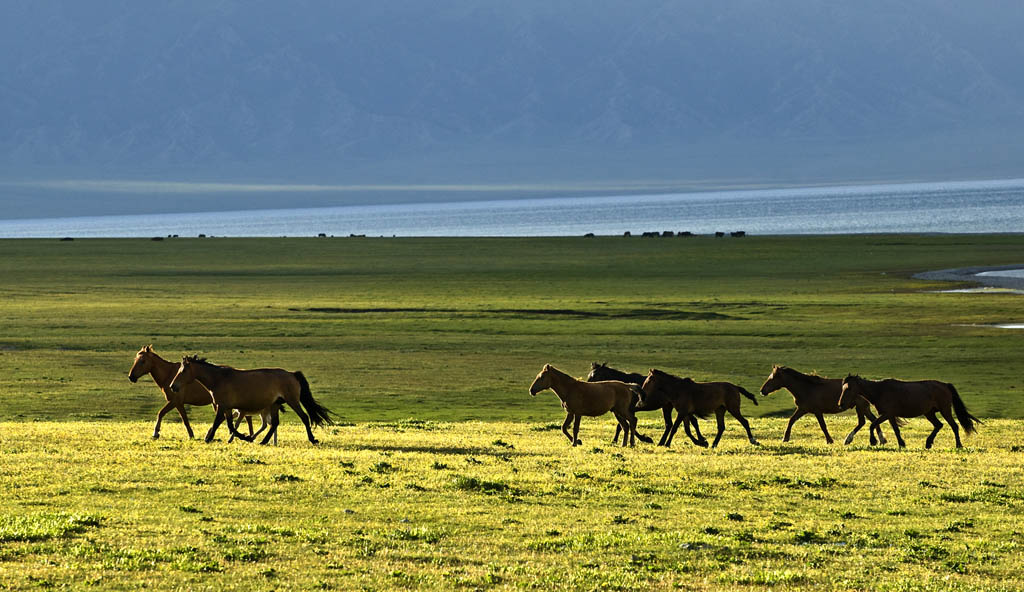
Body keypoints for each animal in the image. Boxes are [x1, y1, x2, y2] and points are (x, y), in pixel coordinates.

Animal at [169, 354, 333, 442]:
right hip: (275, 404)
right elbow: (230, 425)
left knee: (304, 417)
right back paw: (263, 442)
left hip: (292, 400)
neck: (219, 379)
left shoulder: (222, 406)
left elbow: (220, 424)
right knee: (274, 423)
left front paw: (209, 438)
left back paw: (312, 439)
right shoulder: (227, 408)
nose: (172, 386)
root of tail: (292, 374)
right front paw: (247, 437)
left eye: (183, 371)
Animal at [843, 372, 978, 446]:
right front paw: (901, 443)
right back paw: (928, 443)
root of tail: (945, 385)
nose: (841, 403)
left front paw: (873, 441)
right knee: (938, 425)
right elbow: (896, 430)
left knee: (954, 426)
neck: (879, 390)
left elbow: (873, 425)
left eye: (848, 388)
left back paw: (958, 445)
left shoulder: (887, 414)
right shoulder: (890, 415)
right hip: (929, 413)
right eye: (843, 387)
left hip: (945, 410)